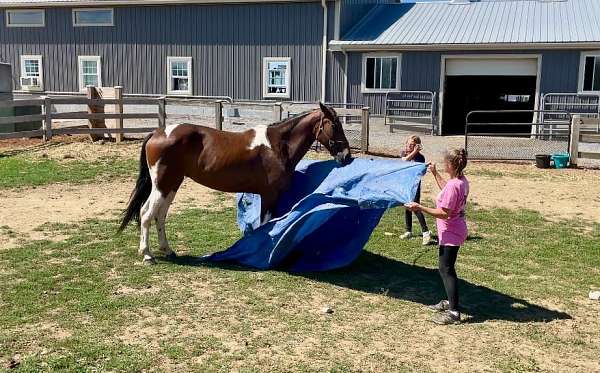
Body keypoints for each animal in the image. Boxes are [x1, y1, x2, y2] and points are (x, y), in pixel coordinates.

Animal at [118, 101, 352, 264]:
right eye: (334, 125)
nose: (347, 156)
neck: (278, 146)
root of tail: (157, 133)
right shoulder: (269, 195)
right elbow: (264, 225)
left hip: (171, 185)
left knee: (160, 215)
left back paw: (167, 250)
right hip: (162, 186)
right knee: (147, 213)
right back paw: (147, 254)